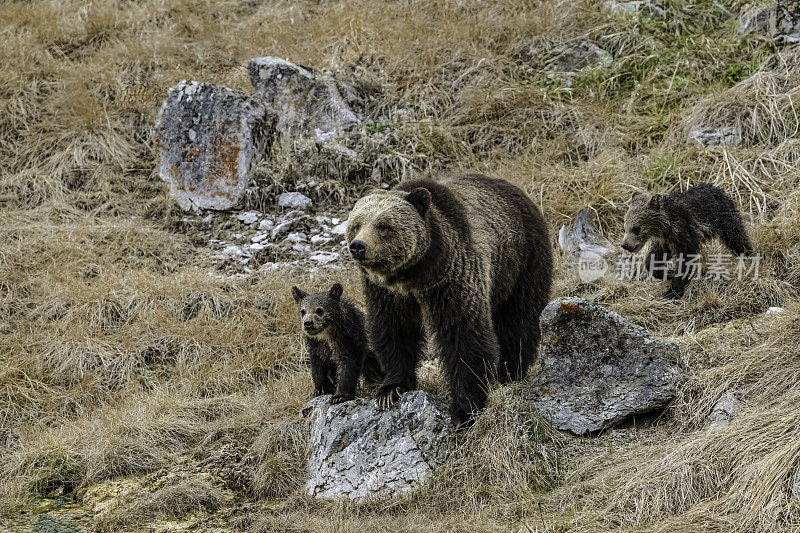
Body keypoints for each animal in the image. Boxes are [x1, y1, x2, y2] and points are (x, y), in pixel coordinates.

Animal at [346, 176, 552, 428]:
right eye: (356, 224)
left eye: (383, 225)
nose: (358, 246)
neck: (411, 276)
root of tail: (517, 191)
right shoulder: (388, 295)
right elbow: (394, 332)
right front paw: (392, 389)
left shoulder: (451, 278)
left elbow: (463, 336)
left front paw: (465, 410)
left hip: (521, 261)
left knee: (518, 321)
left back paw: (509, 372)